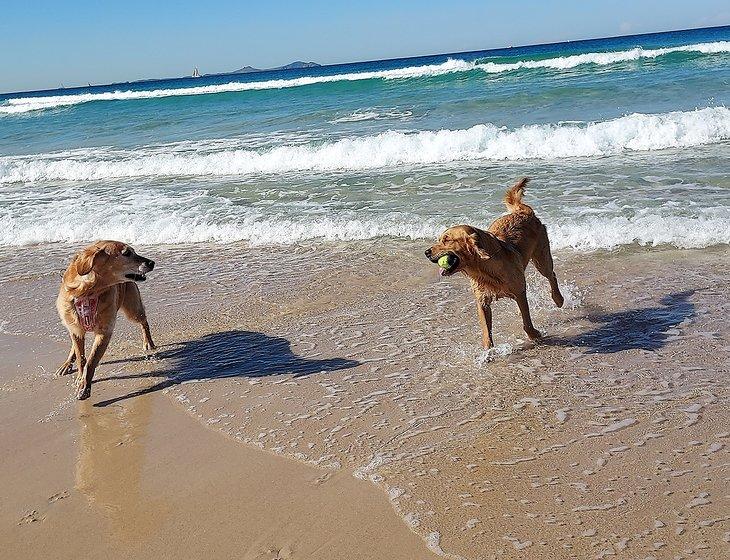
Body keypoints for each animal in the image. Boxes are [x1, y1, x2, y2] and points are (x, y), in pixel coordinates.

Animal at [56, 240, 156, 398]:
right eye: (127, 253)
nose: (152, 262)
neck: (88, 291)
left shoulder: (104, 332)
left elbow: (90, 362)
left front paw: (84, 386)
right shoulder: (76, 327)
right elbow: (81, 358)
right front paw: (80, 377)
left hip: (133, 309)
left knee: (144, 322)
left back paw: (148, 342)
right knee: (75, 345)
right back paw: (67, 364)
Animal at [424, 177, 560, 348]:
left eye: (447, 240)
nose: (426, 252)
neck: (483, 269)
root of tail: (522, 212)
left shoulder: (519, 292)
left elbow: (527, 322)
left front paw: (534, 335)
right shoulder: (482, 301)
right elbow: (486, 330)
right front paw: (488, 350)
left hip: (541, 259)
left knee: (551, 275)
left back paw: (558, 299)